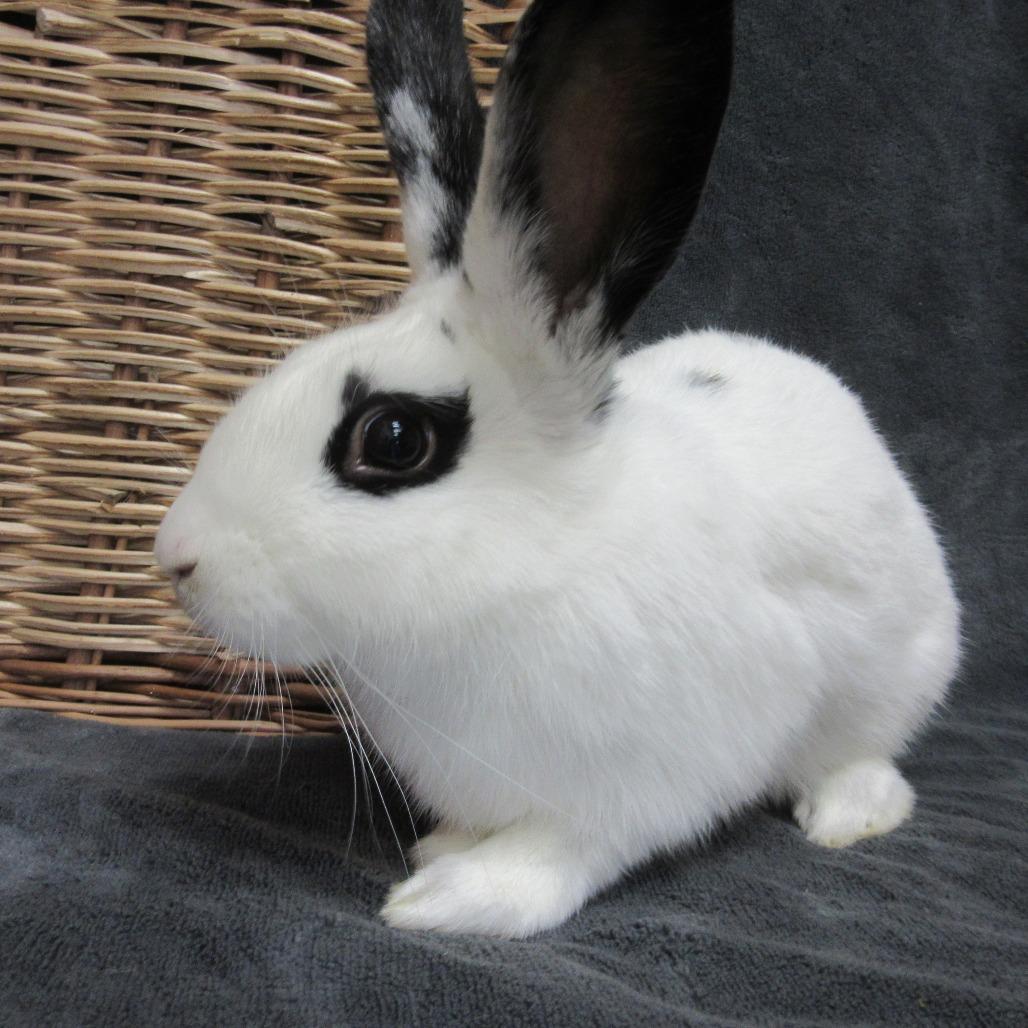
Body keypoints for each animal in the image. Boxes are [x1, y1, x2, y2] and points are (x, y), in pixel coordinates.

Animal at [155, 0, 961, 938]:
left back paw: (847, 815)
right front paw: (444, 848)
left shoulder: (638, 783)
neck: (529, 566)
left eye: (391, 439)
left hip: (899, 674)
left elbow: (561, 855)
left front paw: (451, 896)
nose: (176, 556)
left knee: (864, 753)